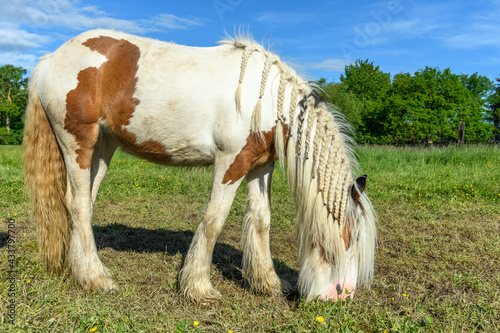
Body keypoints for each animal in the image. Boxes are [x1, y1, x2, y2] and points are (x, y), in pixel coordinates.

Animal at [22, 29, 376, 302]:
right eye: (351, 239)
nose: (341, 295)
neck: (266, 98)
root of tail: (52, 58)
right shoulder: (231, 163)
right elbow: (214, 220)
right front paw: (198, 287)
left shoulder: (260, 167)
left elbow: (261, 220)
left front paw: (268, 283)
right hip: (78, 142)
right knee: (79, 204)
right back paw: (96, 279)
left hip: (103, 148)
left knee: (83, 203)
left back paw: (79, 269)